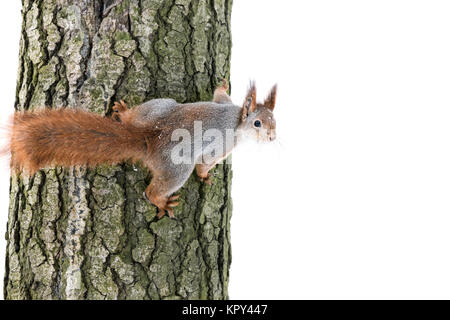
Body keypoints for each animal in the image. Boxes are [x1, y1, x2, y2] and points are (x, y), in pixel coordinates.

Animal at [8, 80, 276, 219]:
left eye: (275, 119)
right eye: (258, 123)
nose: (273, 137)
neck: (237, 120)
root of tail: (150, 137)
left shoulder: (225, 105)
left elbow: (219, 95)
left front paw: (222, 84)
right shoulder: (224, 143)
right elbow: (206, 162)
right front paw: (205, 175)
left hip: (157, 107)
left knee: (133, 118)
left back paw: (125, 113)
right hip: (176, 169)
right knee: (153, 191)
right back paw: (162, 202)